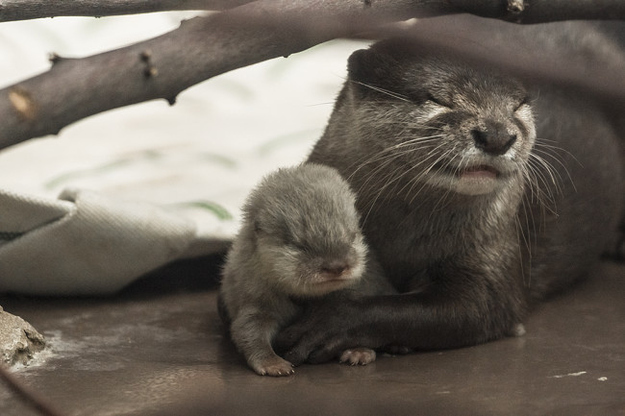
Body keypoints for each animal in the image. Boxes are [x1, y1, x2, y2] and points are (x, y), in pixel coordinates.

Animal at [219, 163, 394, 376]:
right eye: (299, 245)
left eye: (352, 237)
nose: (336, 266)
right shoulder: (254, 298)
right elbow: (248, 330)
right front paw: (271, 362)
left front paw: (358, 350)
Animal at [276, 25, 624, 364]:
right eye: (440, 99)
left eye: (517, 106)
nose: (497, 136)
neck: (402, 239)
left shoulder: (493, 251)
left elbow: (474, 308)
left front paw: (325, 325)